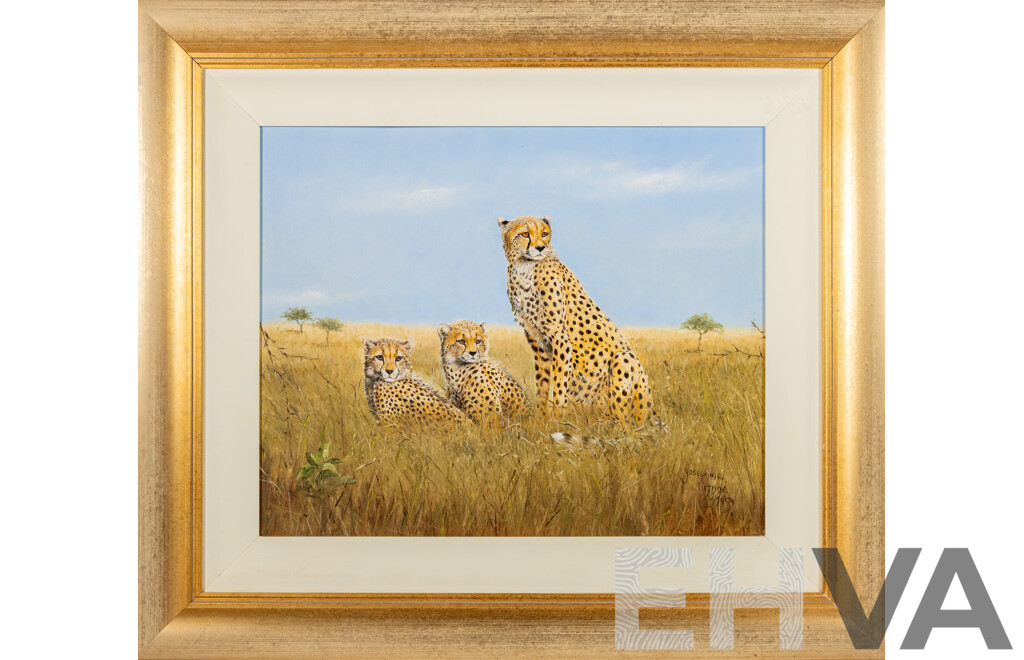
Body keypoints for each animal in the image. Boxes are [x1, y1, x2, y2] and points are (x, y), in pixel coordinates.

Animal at [498, 214, 656, 426]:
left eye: (544, 233)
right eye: (525, 234)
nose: (540, 248)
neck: (525, 267)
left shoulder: (559, 338)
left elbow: (559, 383)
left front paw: (557, 419)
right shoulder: (536, 340)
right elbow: (542, 383)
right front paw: (540, 419)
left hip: (624, 360)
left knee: (625, 421)